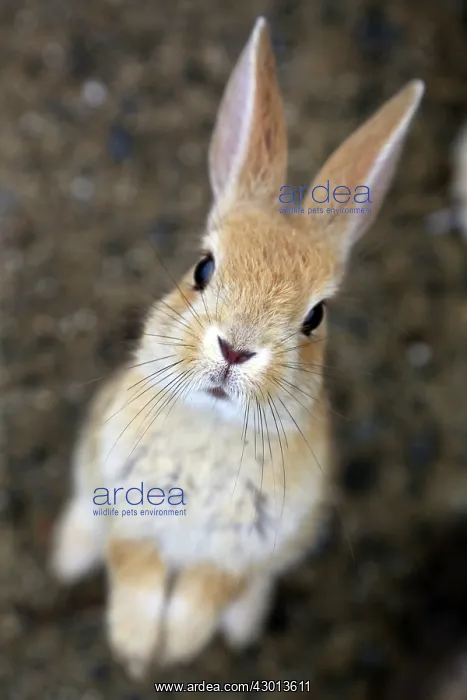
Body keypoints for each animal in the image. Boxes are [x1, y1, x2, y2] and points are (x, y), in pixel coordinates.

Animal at [50, 16, 424, 679]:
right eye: (202, 268)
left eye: (316, 317)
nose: (235, 350)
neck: (213, 429)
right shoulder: (128, 514)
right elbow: (137, 574)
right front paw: (136, 647)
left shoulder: (239, 552)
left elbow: (207, 592)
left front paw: (173, 649)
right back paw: (69, 557)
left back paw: (245, 625)